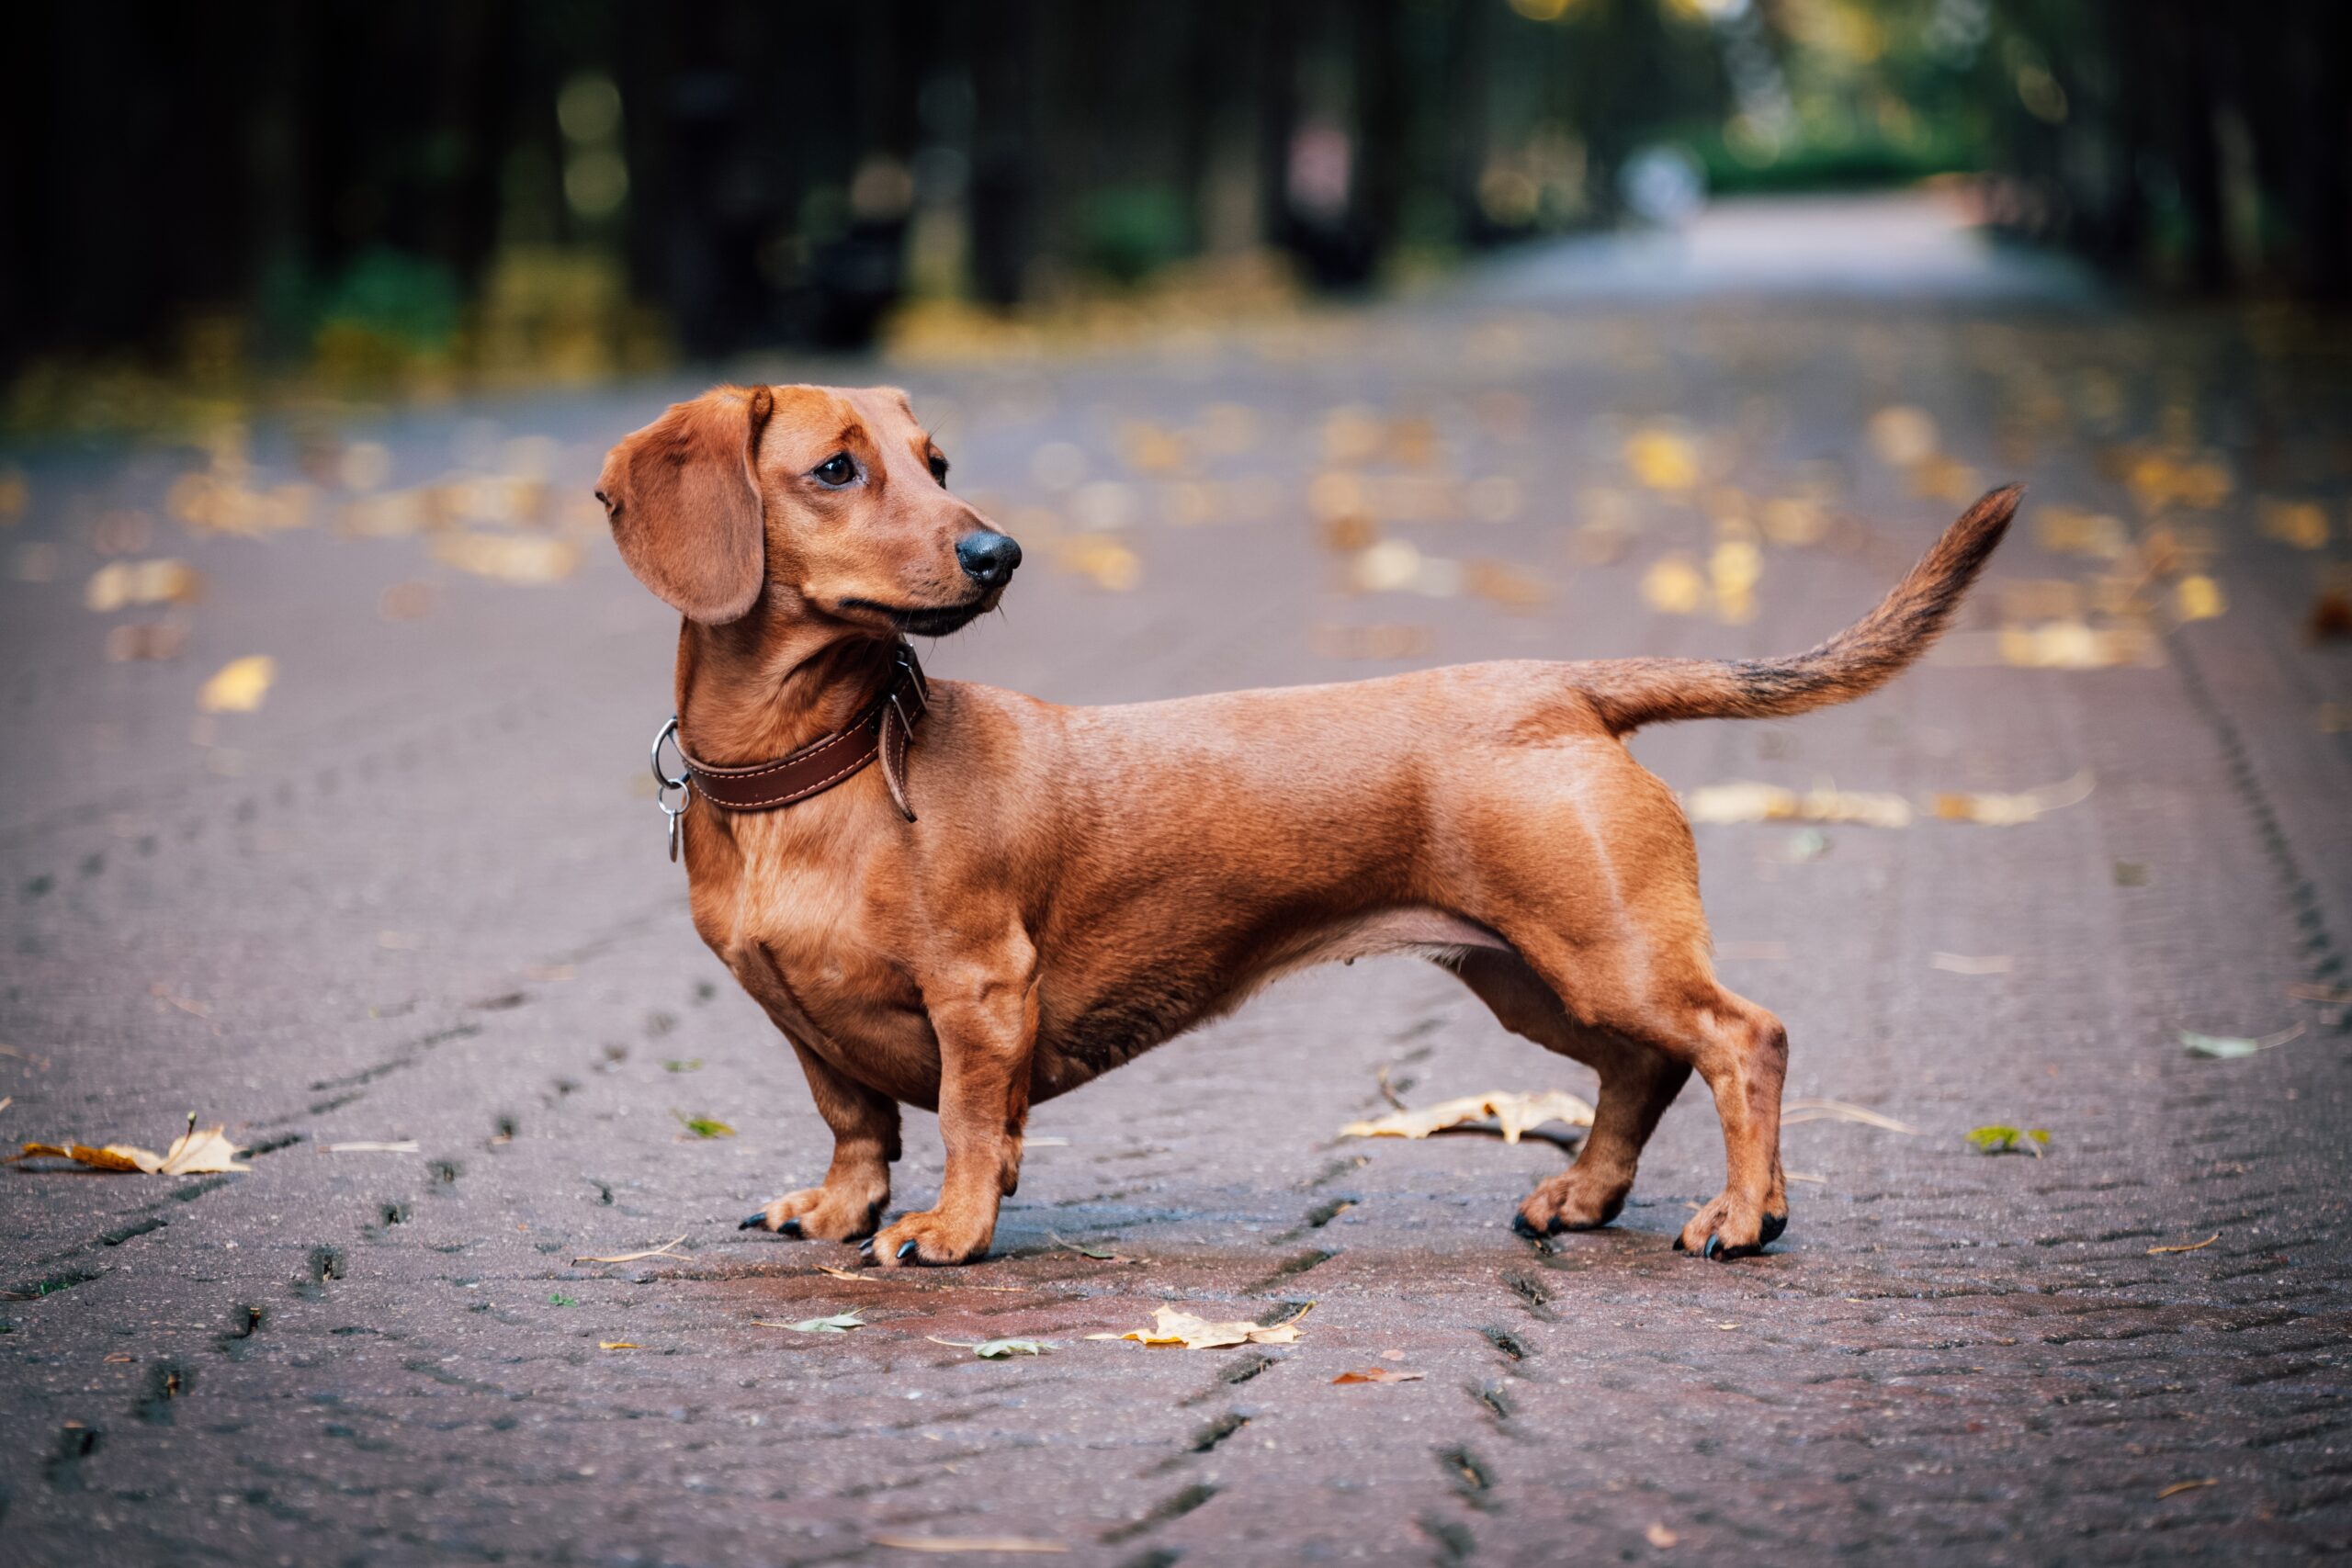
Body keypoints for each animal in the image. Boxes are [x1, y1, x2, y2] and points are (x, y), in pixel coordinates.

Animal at [597, 385, 2013, 1269]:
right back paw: (1588, 1194)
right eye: (836, 468)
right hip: (1532, 975)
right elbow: (857, 1119)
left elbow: (961, 1123)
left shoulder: (979, 994)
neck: (817, 771)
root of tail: (1560, 681)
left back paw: (1742, 1214)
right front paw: (838, 1207)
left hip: (1609, 953)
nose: (998, 552)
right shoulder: (800, 1017)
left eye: (935, 464)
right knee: (1645, 1068)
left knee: (1743, 1039)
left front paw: (948, 1227)